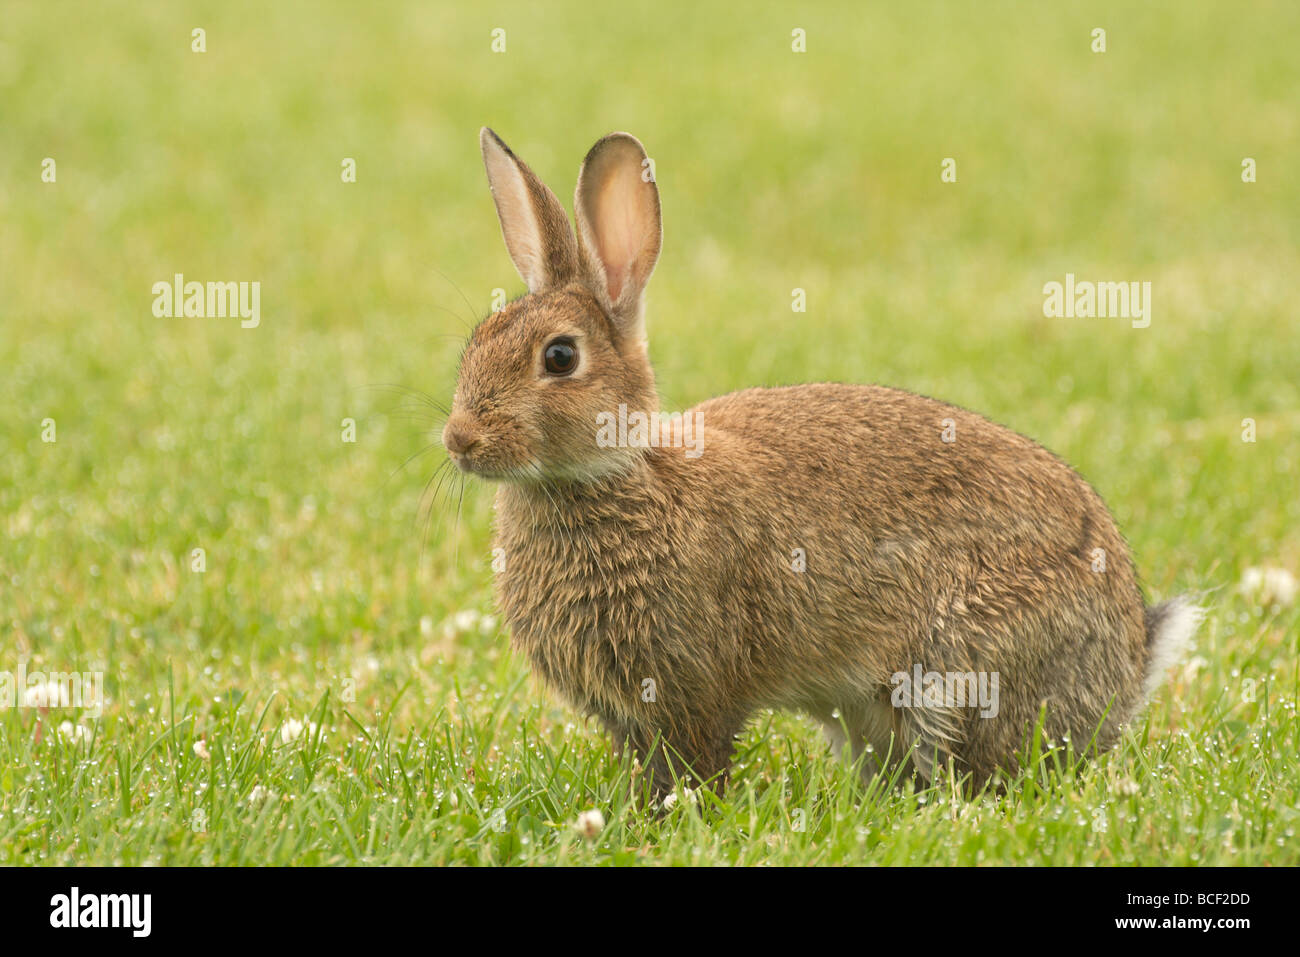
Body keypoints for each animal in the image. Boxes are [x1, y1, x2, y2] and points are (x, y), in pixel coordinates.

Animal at [441, 127, 1201, 795]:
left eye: (559, 356)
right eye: (475, 341)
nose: (459, 439)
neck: (619, 474)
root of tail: (1130, 663)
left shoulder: (694, 688)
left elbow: (696, 765)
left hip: (958, 672)